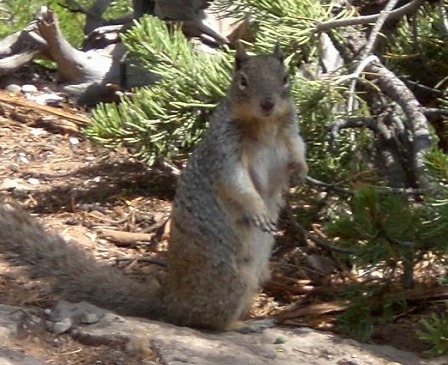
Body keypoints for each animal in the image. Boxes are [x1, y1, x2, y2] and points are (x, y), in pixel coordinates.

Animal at [0, 42, 306, 330]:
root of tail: (170, 303)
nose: (267, 104)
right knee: (208, 322)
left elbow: (297, 152)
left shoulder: (290, 136)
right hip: (231, 280)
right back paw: (245, 325)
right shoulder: (224, 152)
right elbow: (237, 183)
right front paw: (259, 210)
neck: (265, 125)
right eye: (242, 80)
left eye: (285, 78)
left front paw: (301, 172)